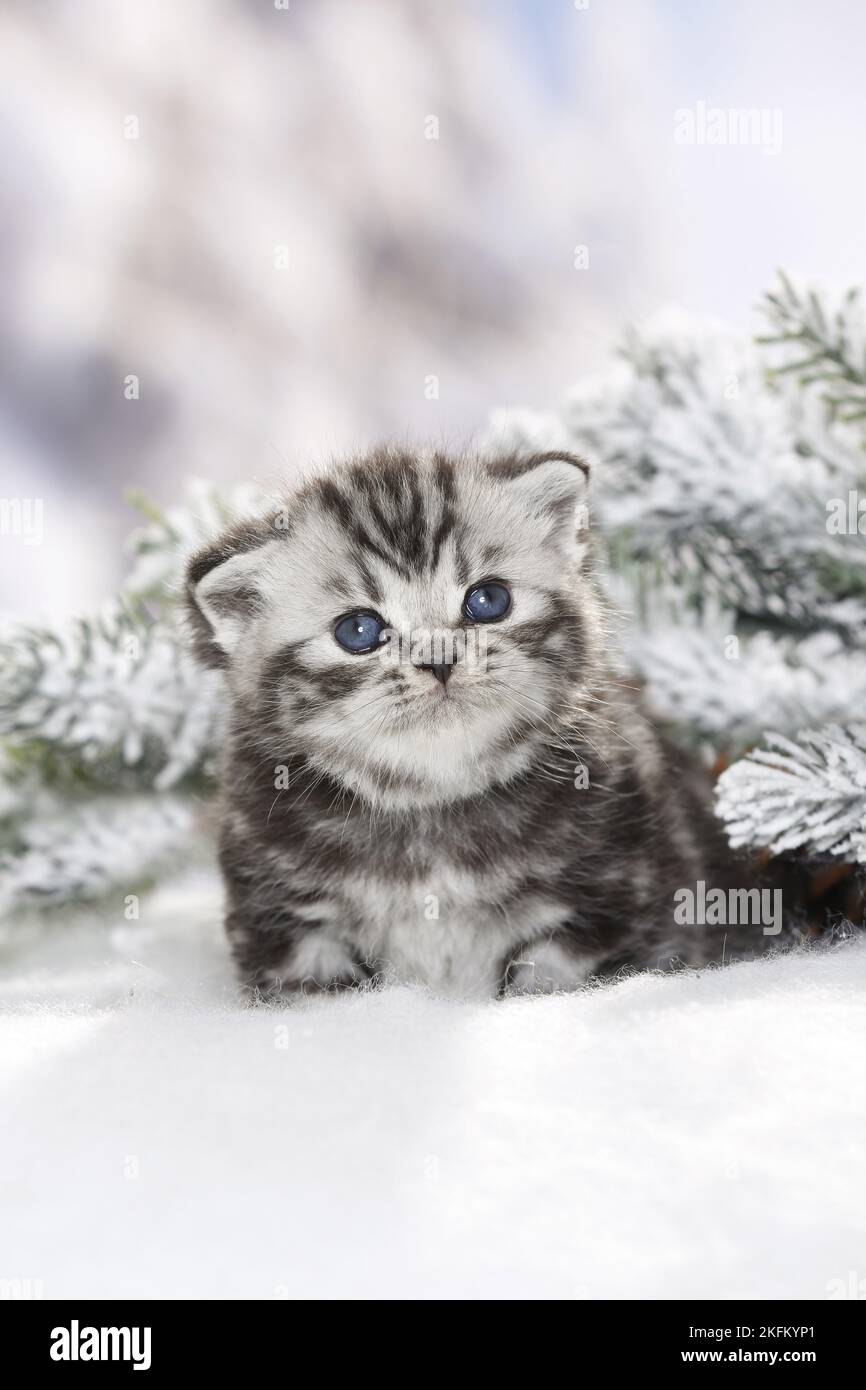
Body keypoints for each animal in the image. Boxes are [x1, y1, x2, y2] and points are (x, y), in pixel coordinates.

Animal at [184, 444, 795, 1000]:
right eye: (358, 630)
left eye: (488, 600)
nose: (439, 660)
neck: (432, 804)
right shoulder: (286, 920)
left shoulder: (610, 898)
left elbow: (548, 983)